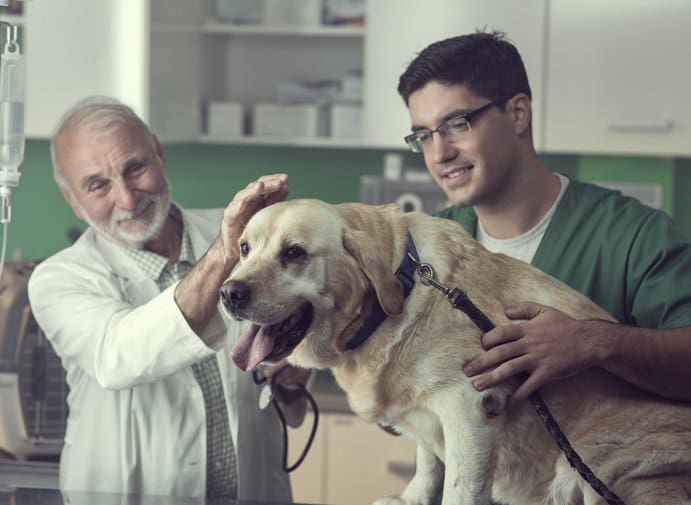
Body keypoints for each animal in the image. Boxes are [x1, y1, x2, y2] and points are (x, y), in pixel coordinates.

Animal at [219, 199, 691, 502]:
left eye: (294, 253)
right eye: (243, 248)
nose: (228, 293)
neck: (396, 296)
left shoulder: (471, 408)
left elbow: (459, 487)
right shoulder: (430, 414)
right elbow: (427, 461)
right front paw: (411, 497)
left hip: (596, 463)